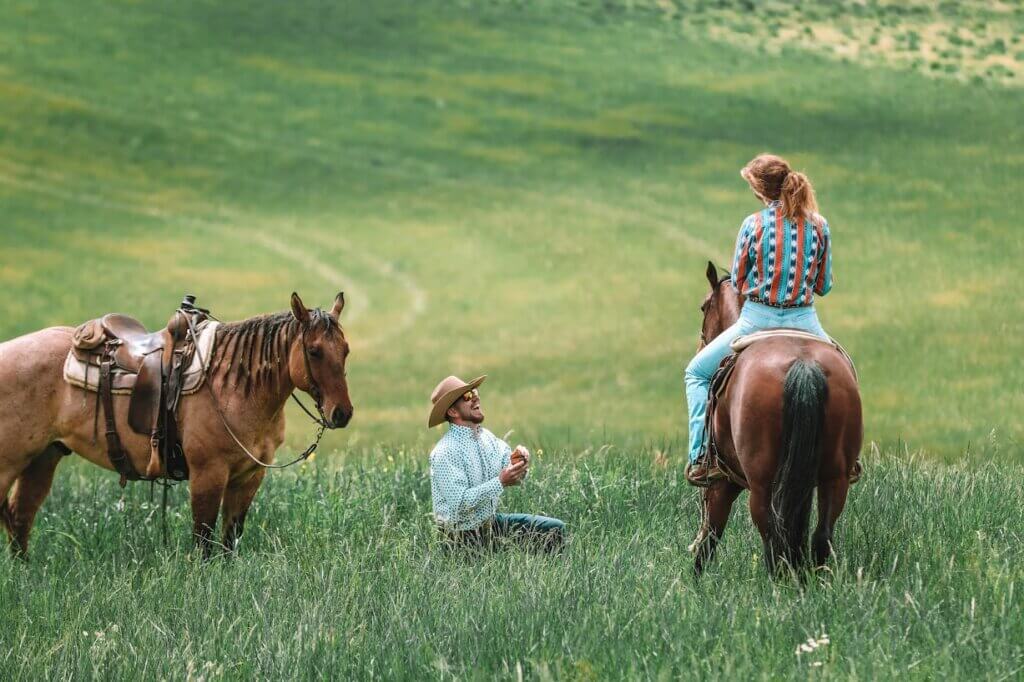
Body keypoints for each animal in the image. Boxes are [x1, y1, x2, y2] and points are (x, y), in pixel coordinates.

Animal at [0, 288, 352, 557]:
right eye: (314, 351)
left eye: (345, 350)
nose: (342, 413)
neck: (233, 386)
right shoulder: (208, 474)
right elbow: (204, 541)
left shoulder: (249, 477)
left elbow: (229, 541)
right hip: (9, 464)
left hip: (44, 458)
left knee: (20, 516)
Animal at [688, 262, 864, 577]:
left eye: (703, 306)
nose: (700, 346)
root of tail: (803, 364)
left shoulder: (722, 480)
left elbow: (709, 538)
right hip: (835, 477)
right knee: (820, 537)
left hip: (762, 486)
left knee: (773, 539)